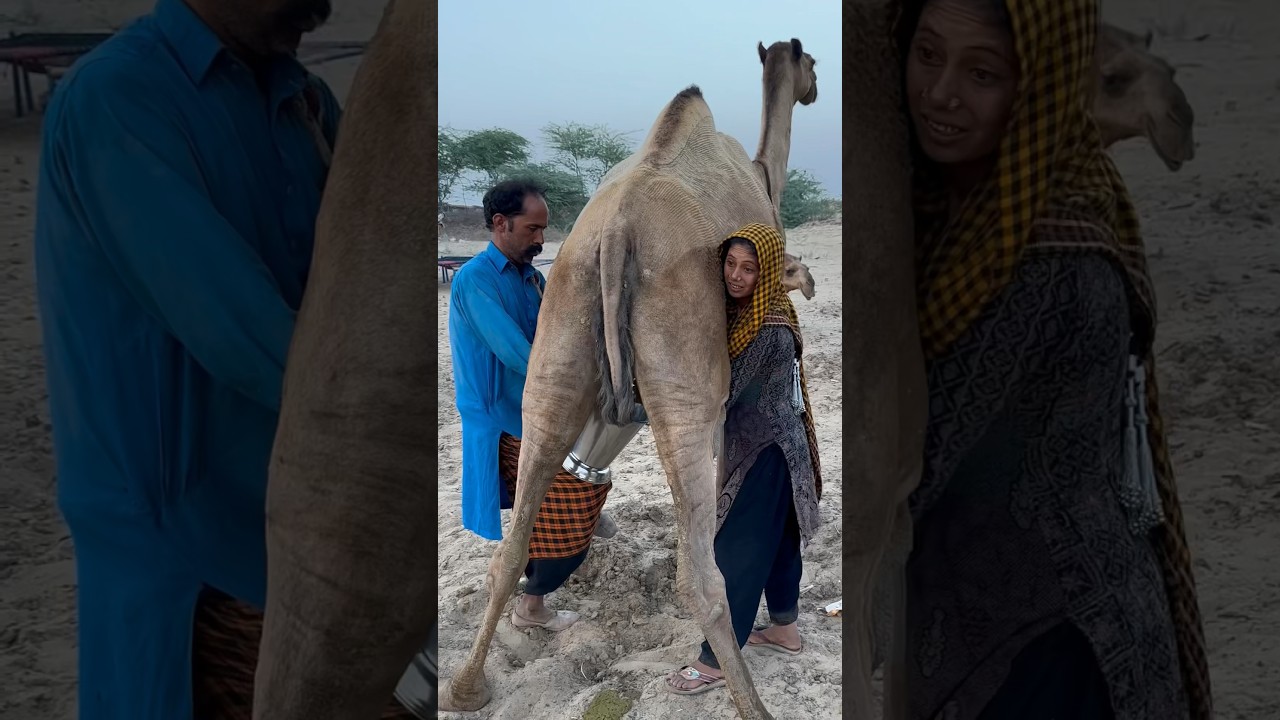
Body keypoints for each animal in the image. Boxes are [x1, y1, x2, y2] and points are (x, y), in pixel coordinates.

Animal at [439, 38, 817, 720]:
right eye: (812, 66)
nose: (815, 87)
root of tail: (616, 232)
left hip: (560, 326)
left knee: (510, 544)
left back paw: (466, 686)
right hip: (682, 359)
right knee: (702, 576)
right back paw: (752, 703)